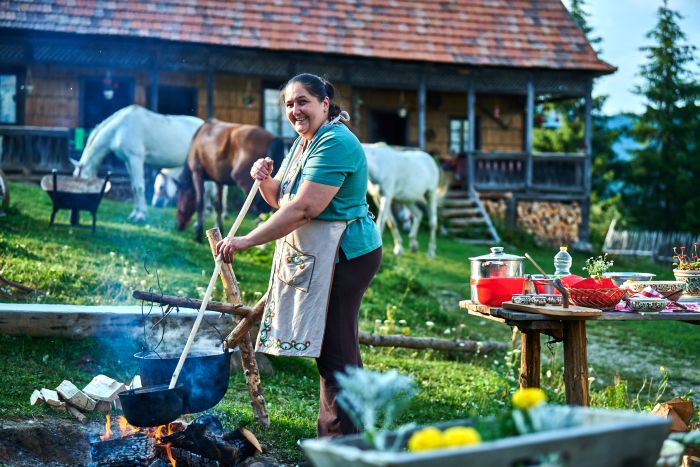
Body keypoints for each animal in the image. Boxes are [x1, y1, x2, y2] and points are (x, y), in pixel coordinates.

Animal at [74, 106, 205, 223]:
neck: (119, 129)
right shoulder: (128, 161)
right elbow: (133, 187)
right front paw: (134, 214)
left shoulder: (135, 159)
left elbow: (139, 187)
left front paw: (140, 216)